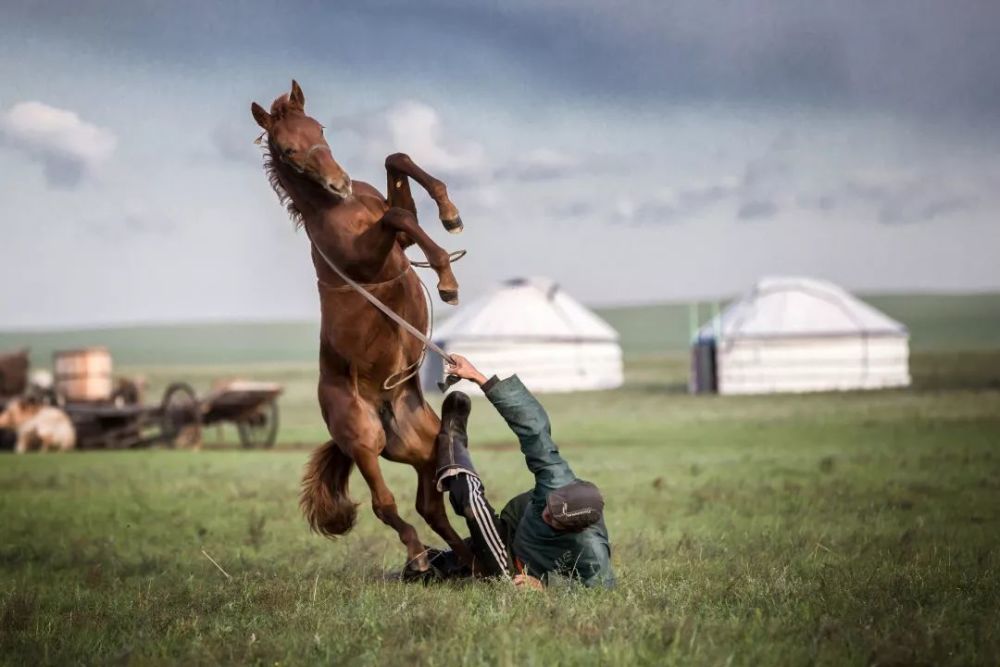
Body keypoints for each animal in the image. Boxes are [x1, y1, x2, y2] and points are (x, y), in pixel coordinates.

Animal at [250, 82, 468, 576]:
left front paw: (450, 214)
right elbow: (398, 218)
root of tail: (383, 408)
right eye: (288, 149)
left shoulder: (397, 236)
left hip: (421, 448)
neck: (340, 208)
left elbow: (397, 165)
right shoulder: (369, 256)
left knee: (430, 505)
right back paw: (420, 557)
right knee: (386, 505)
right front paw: (447, 279)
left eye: (319, 129)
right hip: (365, 444)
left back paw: (471, 557)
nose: (342, 182)